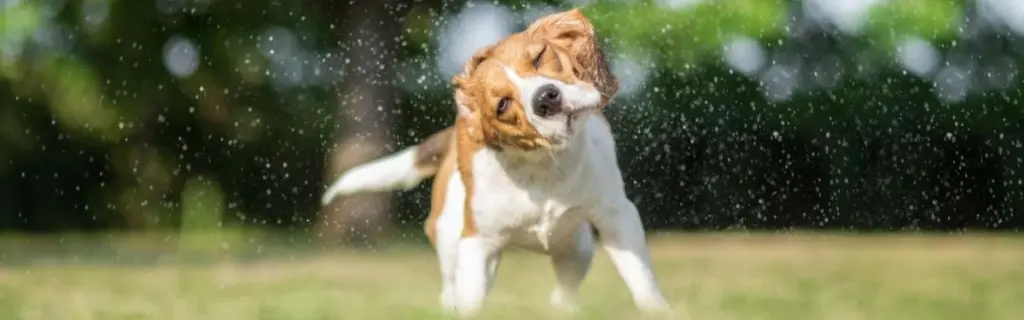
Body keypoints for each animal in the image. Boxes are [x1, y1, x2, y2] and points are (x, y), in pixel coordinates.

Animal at [319, 8, 671, 317]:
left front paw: (658, 311)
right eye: (502, 104)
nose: (545, 98)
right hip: (450, 237)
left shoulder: (617, 215)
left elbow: (642, 280)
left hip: (578, 245)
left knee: (565, 287)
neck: (543, 166)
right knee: (451, 289)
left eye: (540, 57)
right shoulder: (478, 244)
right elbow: (471, 300)